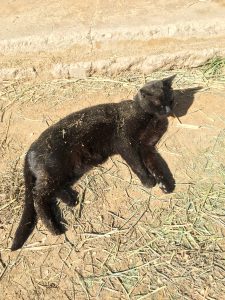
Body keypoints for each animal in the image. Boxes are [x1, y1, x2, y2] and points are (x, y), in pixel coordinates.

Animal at [11, 75, 176, 251]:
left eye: (170, 100)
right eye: (159, 103)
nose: (168, 110)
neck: (148, 116)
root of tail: (30, 149)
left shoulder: (146, 148)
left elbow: (156, 166)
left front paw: (165, 184)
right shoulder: (125, 143)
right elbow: (137, 164)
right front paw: (148, 181)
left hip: (70, 168)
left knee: (52, 189)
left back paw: (70, 199)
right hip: (56, 168)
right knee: (38, 194)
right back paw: (54, 227)